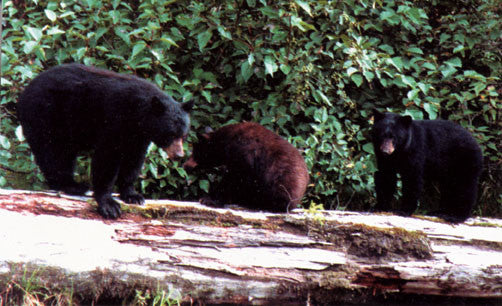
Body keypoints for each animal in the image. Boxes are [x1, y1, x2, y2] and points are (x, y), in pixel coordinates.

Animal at [16, 63, 193, 219]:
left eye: (183, 135)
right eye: (170, 134)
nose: (179, 155)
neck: (137, 114)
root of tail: (24, 93)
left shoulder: (138, 137)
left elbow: (133, 161)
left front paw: (133, 195)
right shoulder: (114, 119)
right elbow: (107, 158)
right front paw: (109, 205)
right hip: (47, 116)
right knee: (53, 153)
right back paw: (71, 185)